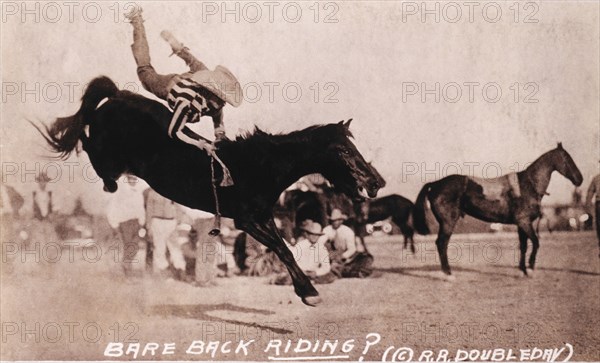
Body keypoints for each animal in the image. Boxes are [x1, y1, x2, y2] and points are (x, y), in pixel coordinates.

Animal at [412, 144, 580, 278]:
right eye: (567, 158)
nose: (580, 179)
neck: (527, 185)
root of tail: (434, 184)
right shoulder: (525, 222)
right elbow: (536, 242)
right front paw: (531, 268)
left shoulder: (521, 224)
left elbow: (524, 246)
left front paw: (523, 270)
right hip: (448, 222)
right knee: (442, 243)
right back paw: (448, 274)